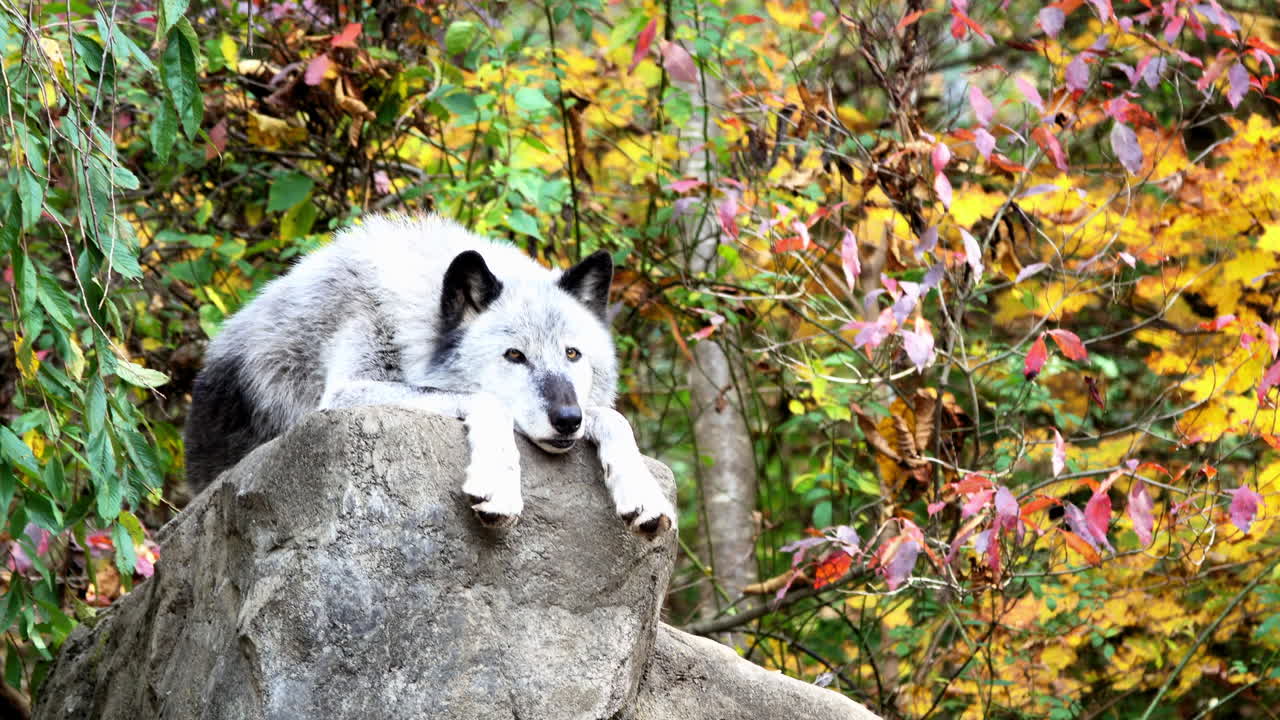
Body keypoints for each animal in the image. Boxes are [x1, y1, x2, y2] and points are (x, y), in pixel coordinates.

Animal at [184, 214, 675, 536]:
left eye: (573, 354)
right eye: (514, 356)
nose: (568, 419)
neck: (410, 319)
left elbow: (615, 418)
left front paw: (642, 491)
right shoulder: (344, 393)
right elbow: (489, 403)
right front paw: (498, 484)